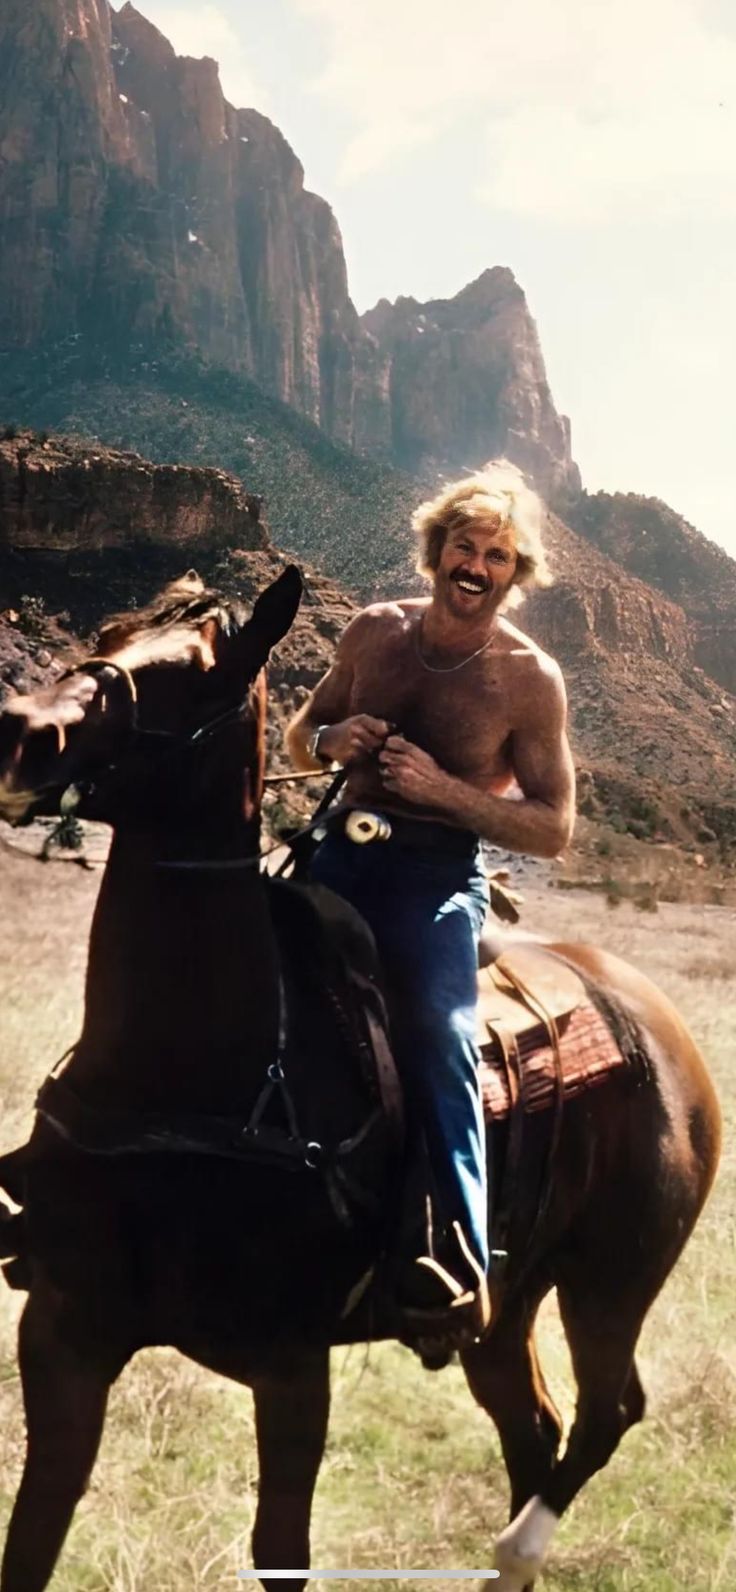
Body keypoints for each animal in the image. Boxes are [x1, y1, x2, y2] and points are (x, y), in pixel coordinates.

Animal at [0, 573, 720, 1592]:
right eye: (107, 635)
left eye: (196, 676)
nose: (20, 733)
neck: (193, 1080)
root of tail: (660, 1026)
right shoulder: (64, 1336)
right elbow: (31, 1538)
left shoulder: (293, 1369)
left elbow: (282, 1553)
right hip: (505, 1304)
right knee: (533, 1425)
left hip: (614, 1278)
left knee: (607, 1412)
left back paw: (517, 1547)